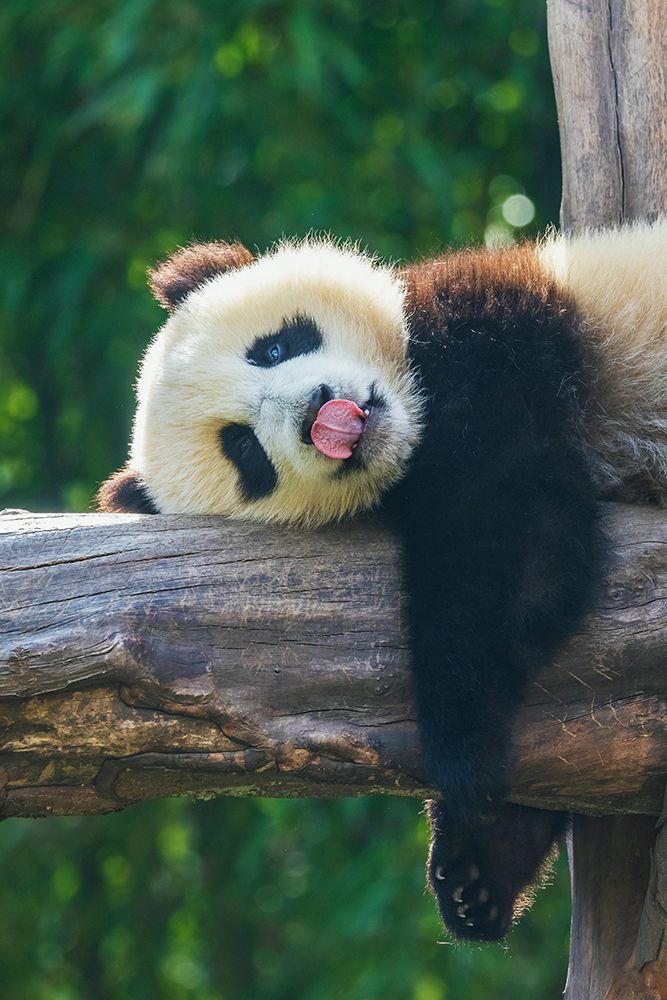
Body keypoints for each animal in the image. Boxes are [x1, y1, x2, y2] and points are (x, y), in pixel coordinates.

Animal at [98, 219, 667, 942]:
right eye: (245, 451)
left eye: (275, 346)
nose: (319, 411)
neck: (412, 417)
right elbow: (524, 548)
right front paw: (482, 862)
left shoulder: (494, 335)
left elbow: (502, 543)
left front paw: (460, 760)